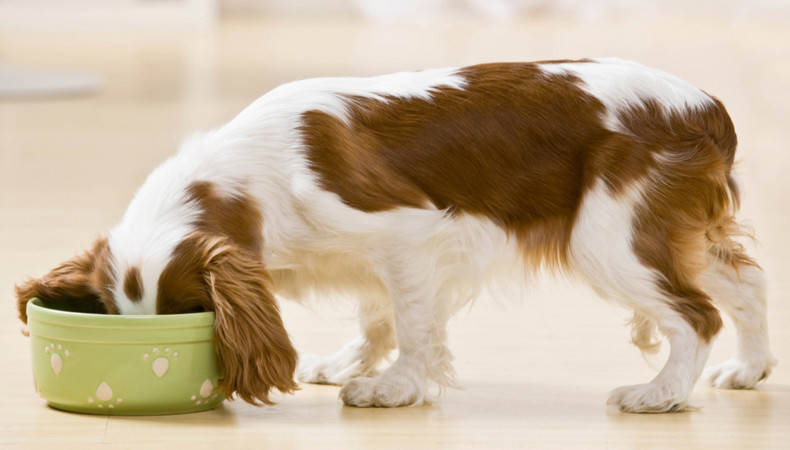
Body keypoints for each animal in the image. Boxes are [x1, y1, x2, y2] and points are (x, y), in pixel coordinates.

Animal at [15, 58, 776, 414]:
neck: (254, 175)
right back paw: (750, 368)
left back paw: (660, 394)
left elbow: (411, 323)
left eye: (192, 314)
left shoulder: (406, 236)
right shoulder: (370, 259)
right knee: (745, 283)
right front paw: (353, 362)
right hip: (673, 230)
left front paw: (393, 387)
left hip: (609, 238)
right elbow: (377, 313)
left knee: (695, 314)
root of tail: (706, 108)